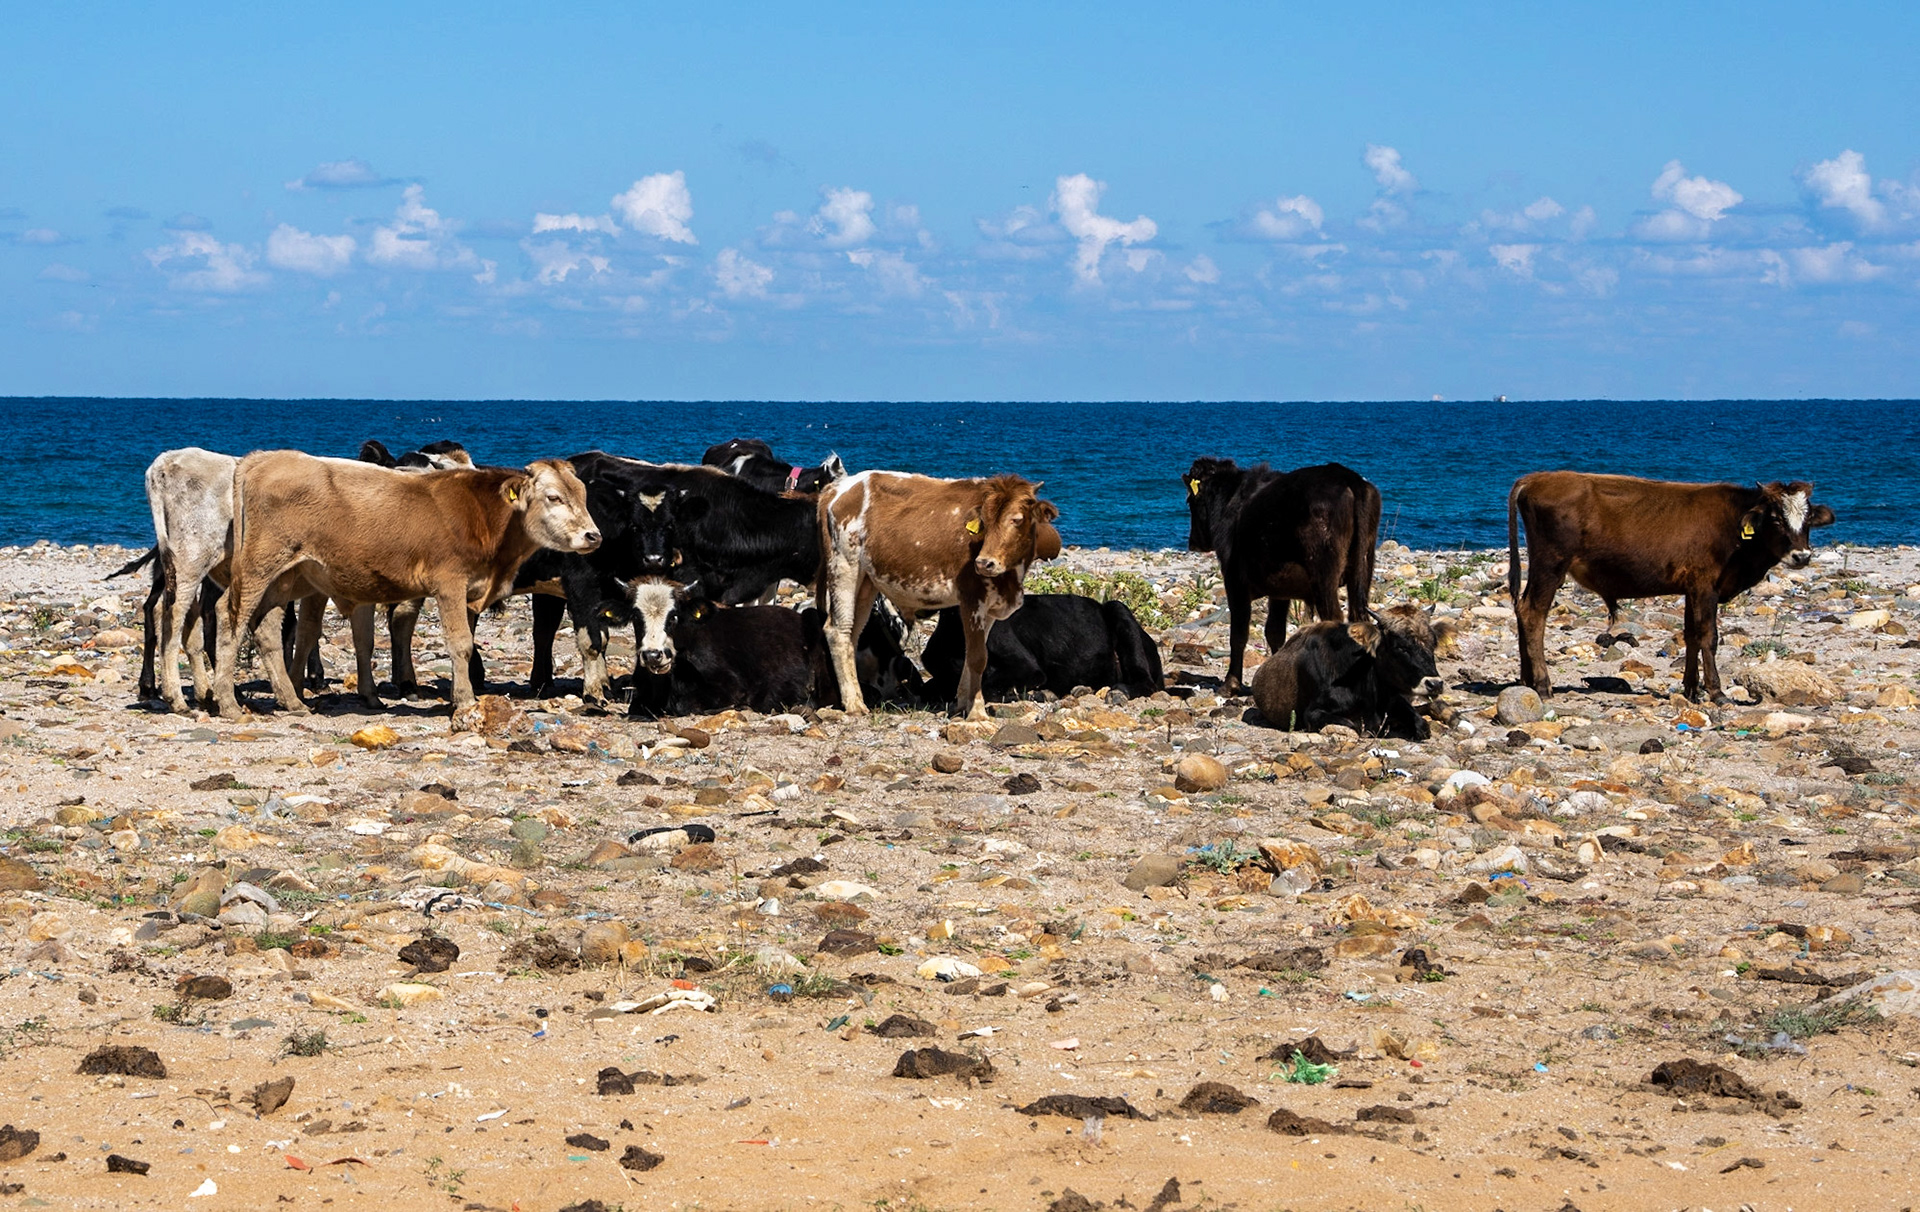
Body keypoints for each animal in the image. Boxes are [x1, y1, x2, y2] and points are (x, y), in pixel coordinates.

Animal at [212, 452, 599, 717]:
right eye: (553, 497)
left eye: (582, 495)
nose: (593, 535)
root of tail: (264, 457)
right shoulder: (449, 582)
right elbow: (461, 644)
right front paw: (465, 700)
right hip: (258, 568)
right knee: (230, 618)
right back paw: (228, 703)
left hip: (288, 577)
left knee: (267, 630)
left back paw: (292, 700)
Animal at [817, 471, 1060, 719]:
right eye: (984, 522)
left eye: (1017, 519)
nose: (984, 563)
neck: (1011, 579)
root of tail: (837, 489)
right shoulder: (971, 598)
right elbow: (978, 658)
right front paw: (977, 711)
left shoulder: (991, 608)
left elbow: (971, 655)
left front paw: (962, 704)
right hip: (844, 566)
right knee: (838, 630)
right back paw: (854, 703)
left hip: (866, 581)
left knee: (853, 633)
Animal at [1183, 459, 1380, 695]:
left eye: (1190, 500)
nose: (1193, 542)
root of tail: (1347, 476)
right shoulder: (1280, 590)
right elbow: (1275, 632)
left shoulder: (1234, 581)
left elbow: (1238, 634)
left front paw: (1230, 684)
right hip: (1363, 567)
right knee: (1360, 620)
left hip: (1324, 575)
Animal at [1250, 604, 1451, 739]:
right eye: (1401, 647)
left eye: (1433, 643)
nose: (1435, 684)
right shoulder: (1312, 713)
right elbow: (1351, 725)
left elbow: (1422, 725)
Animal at [1507, 472, 1836, 702]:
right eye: (1776, 518)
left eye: (1807, 518)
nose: (1801, 556)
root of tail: (1536, 478)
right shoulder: (1705, 586)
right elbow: (1708, 636)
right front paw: (1716, 692)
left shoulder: (1691, 588)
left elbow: (1691, 635)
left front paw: (1691, 689)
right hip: (1551, 565)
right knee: (1534, 614)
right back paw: (1543, 684)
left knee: (1521, 609)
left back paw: (1526, 681)